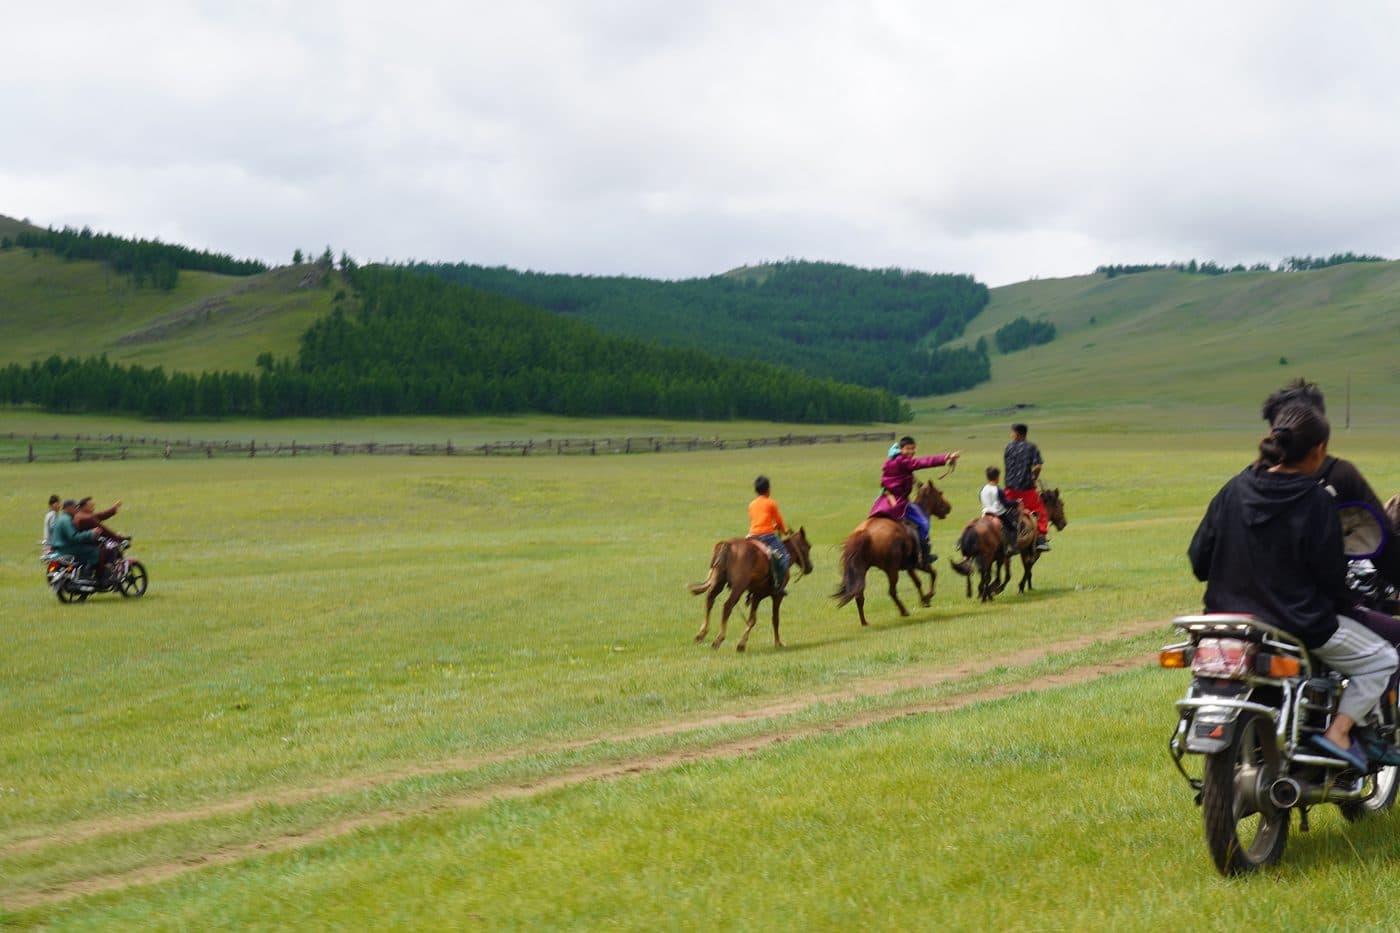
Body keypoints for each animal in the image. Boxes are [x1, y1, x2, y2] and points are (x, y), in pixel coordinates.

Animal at [832, 480, 952, 626]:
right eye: (940, 493)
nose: (949, 507)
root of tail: (864, 532)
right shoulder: (920, 563)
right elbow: (933, 574)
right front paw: (928, 597)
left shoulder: (910, 566)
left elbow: (917, 582)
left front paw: (924, 599)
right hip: (892, 570)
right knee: (892, 591)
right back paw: (904, 611)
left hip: (862, 569)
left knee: (859, 595)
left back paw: (864, 622)